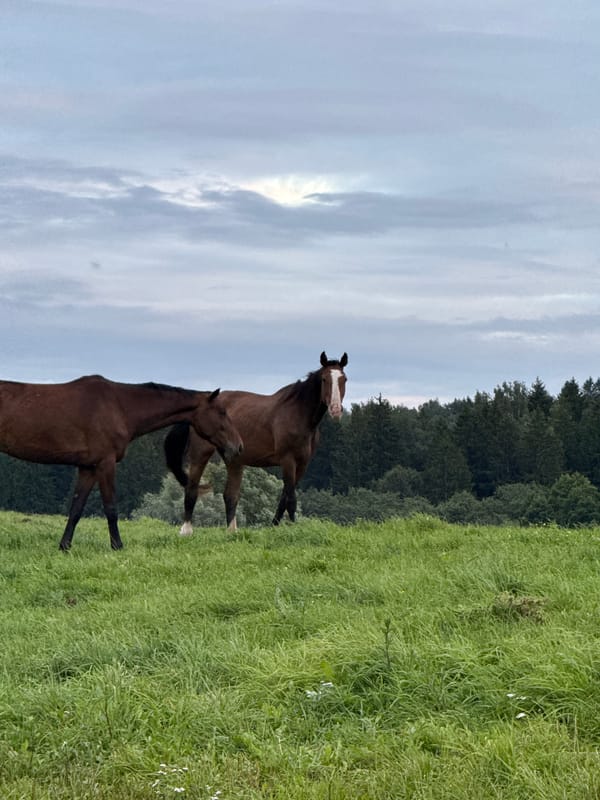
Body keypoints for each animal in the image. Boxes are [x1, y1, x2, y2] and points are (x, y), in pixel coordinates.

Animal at [0, 376, 243, 550]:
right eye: (222, 412)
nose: (238, 446)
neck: (120, 407)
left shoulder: (88, 468)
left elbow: (76, 508)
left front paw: (64, 546)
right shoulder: (105, 463)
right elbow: (111, 508)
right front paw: (117, 545)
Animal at [164, 351, 348, 534]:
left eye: (344, 379)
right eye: (324, 379)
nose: (335, 409)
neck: (298, 415)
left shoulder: (303, 463)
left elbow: (284, 498)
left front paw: (274, 526)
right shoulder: (287, 460)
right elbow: (291, 499)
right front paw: (293, 529)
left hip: (234, 459)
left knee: (230, 495)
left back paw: (232, 531)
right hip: (201, 453)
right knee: (192, 488)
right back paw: (186, 530)